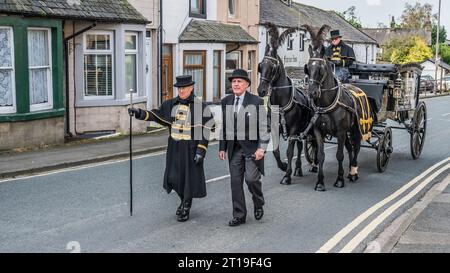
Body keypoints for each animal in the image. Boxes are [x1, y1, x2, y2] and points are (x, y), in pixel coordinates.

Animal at [258, 23, 314, 185]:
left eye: (273, 67)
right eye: (260, 66)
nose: (261, 90)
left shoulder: (293, 129)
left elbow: (289, 152)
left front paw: (287, 175)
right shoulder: (275, 128)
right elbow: (276, 151)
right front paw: (283, 166)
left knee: (303, 146)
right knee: (300, 146)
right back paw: (299, 168)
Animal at [302, 25, 370, 191]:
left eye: (320, 69)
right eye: (307, 68)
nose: (312, 93)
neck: (327, 104)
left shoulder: (340, 131)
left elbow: (339, 155)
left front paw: (339, 180)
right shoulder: (318, 131)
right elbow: (320, 155)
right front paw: (320, 182)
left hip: (355, 129)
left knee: (356, 148)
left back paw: (353, 171)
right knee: (350, 148)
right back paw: (350, 171)